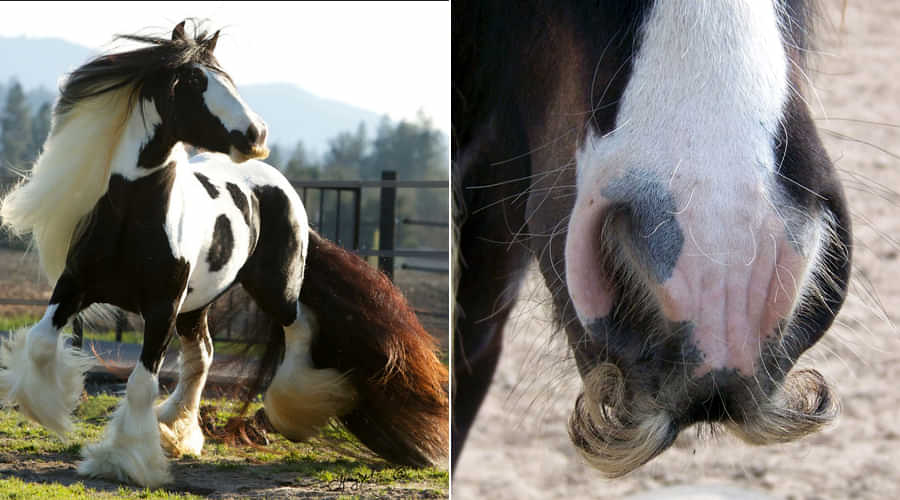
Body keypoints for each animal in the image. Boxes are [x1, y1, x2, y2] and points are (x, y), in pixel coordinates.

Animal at [0, 21, 448, 487]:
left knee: (299, 329)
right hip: (195, 305)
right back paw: (173, 429)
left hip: (273, 288)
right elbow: (40, 342)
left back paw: (294, 411)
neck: (132, 215)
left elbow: (142, 382)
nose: (257, 135)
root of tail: (278, 184)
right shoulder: (75, 285)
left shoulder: (160, 307)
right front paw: (52, 412)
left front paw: (125, 461)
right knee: (203, 356)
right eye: (196, 82)